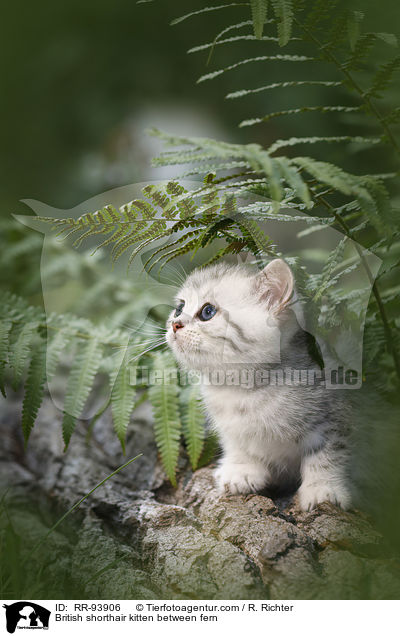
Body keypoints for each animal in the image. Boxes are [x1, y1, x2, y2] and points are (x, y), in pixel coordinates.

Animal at [164, 256, 352, 510]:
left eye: (207, 312)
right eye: (179, 308)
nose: (175, 324)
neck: (244, 391)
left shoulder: (336, 415)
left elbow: (328, 453)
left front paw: (324, 488)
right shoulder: (231, 426)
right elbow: (238, 443)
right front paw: (241, 470)